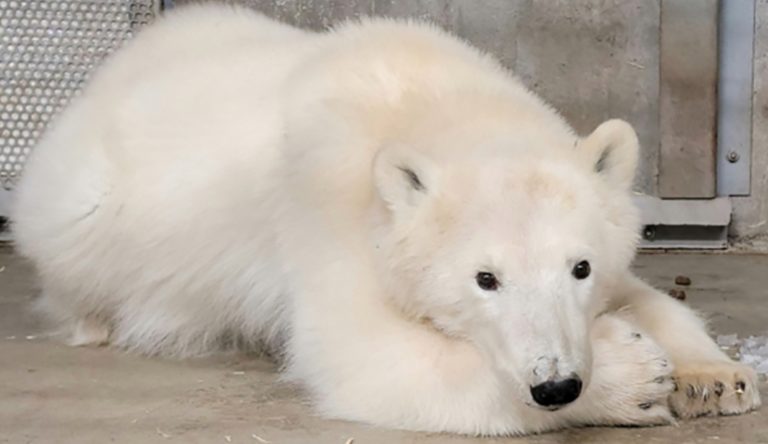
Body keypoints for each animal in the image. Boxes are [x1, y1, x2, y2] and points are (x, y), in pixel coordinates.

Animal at [10, 4, 760, 435]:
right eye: (485, 278)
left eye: (580, 266)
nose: (555, 383)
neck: (429, 100)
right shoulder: (326, 212)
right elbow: (366, 357)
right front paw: (632, 377)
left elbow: (645, 294)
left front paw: (714, 376)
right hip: (82, 217)